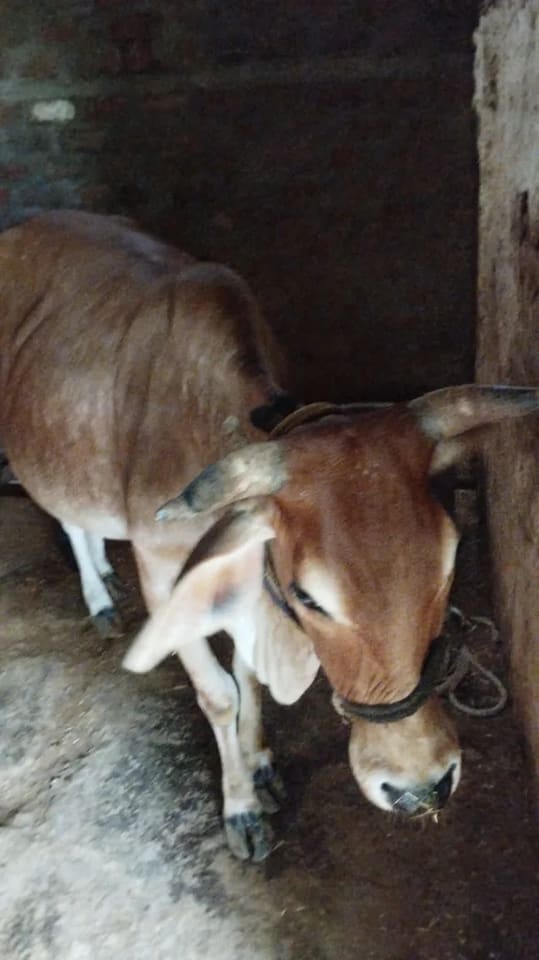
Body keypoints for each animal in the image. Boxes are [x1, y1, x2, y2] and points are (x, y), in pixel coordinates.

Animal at [1, 210, 537, 861]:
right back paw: (98, 596)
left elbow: (250, 675)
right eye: (310, 598)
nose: (421, 787)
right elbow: (220, 693)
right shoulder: (166, 577)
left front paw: (259, 765)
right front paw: (242, 808)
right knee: (66, 515)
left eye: (450, 563)